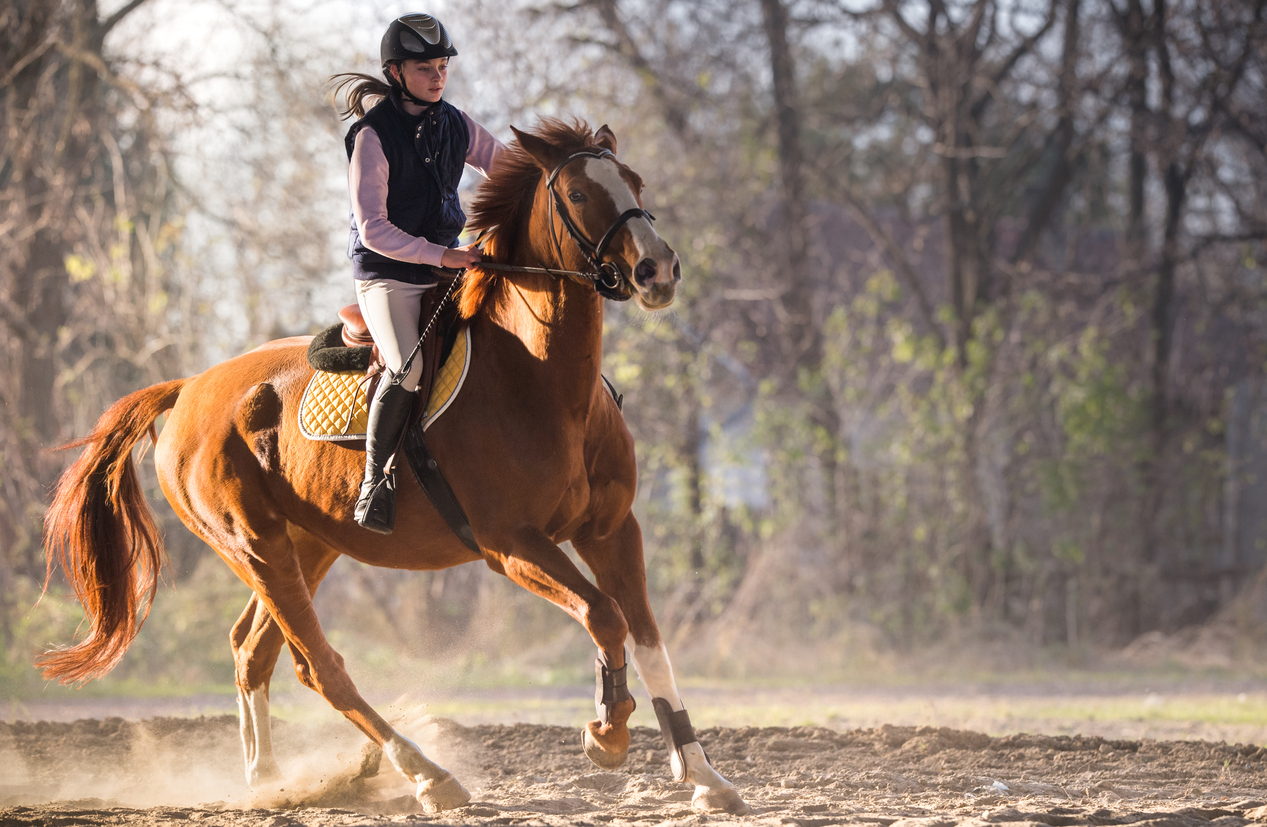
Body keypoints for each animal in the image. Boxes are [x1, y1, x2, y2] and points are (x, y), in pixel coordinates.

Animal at [38, 120, 750, 815]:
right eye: (576, 194)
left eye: (634, 181)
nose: (659, 270)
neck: (542, 382)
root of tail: (189, 387)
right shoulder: (513, 545)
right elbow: (604, 616)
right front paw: (607, 731)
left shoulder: (610, 531)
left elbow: (648, 638)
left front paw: (703, 775)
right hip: (255, 545)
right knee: (317, 666)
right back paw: (428, 776)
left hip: (307, 544)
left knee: (253, 651)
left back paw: (268, 781)